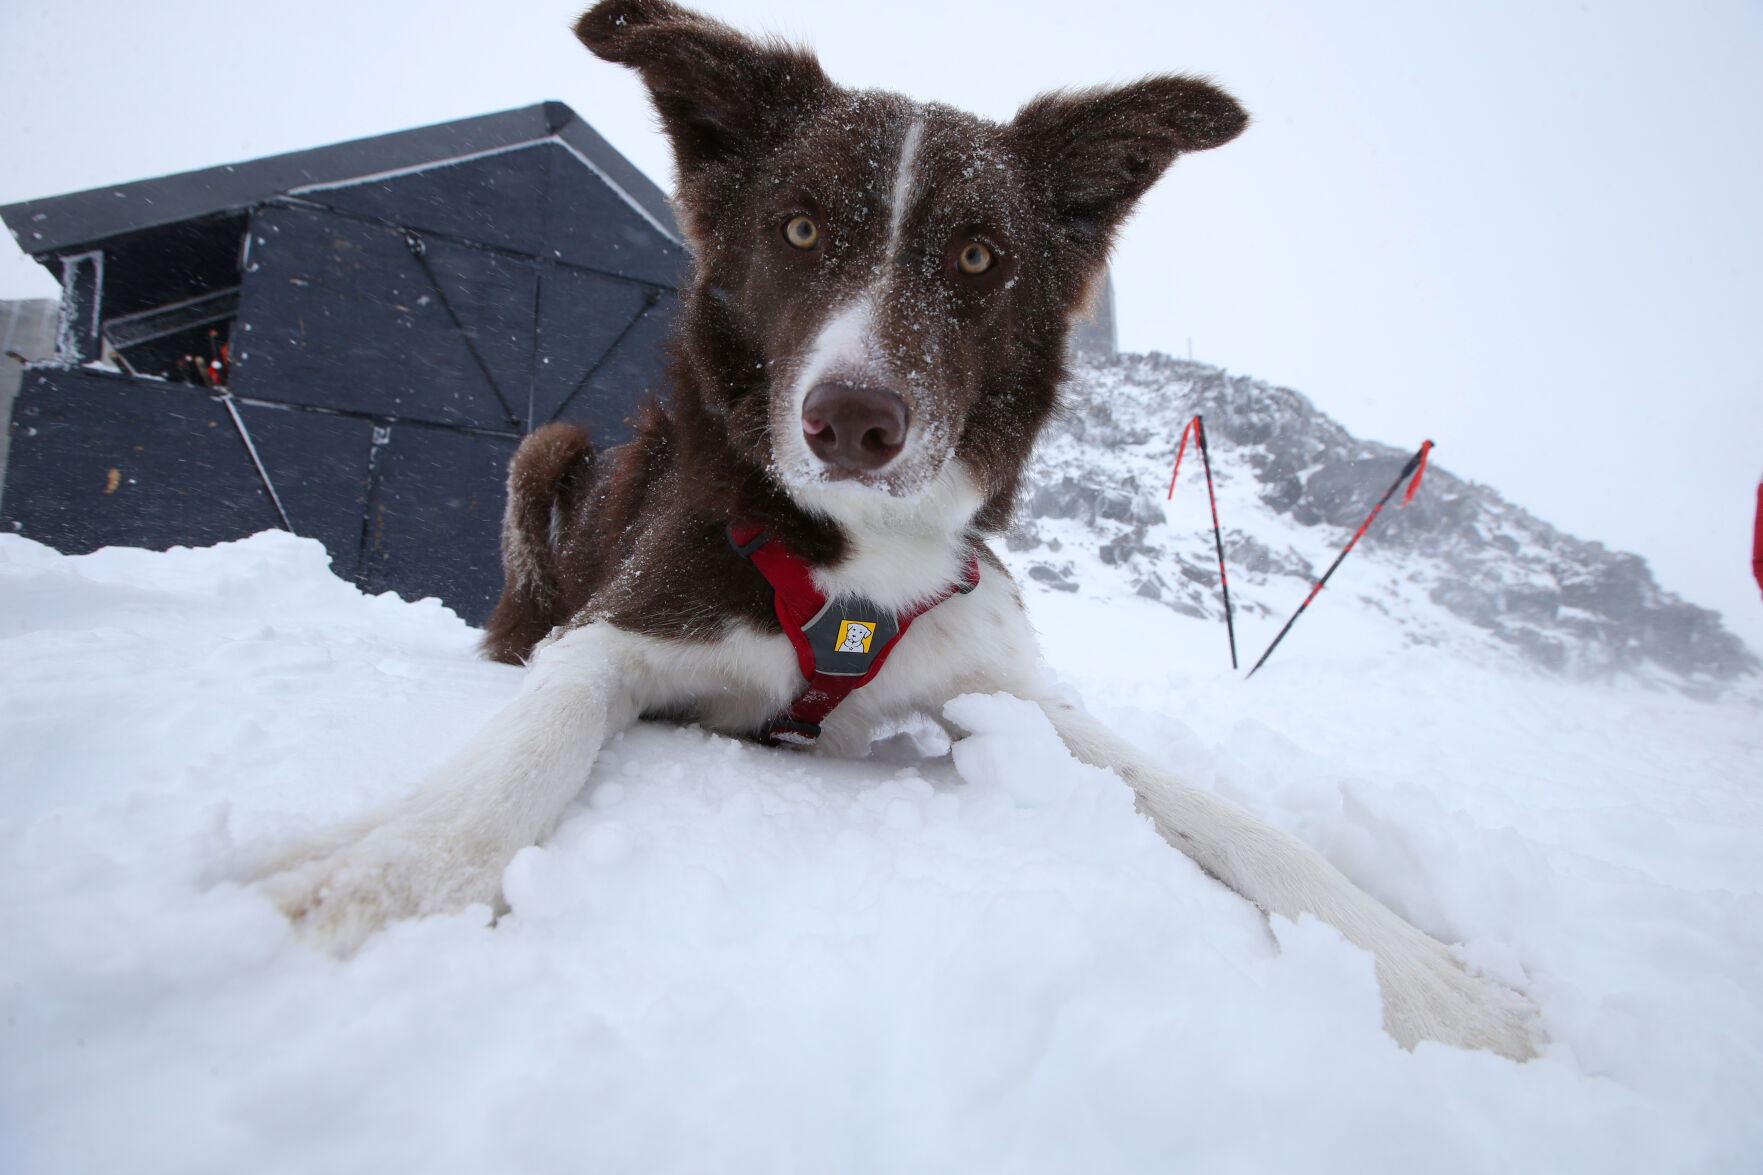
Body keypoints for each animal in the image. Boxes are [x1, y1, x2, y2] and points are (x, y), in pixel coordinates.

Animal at [255, 0, 1537, 1058]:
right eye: (798, 229)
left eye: (977, 256)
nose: (853, 422)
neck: (855, 553)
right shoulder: (618, 632)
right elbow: (536, 738)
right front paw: (384, 876)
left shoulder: (1002, 682)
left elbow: (1227, 815)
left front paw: (1435, 981)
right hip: (549, 451)